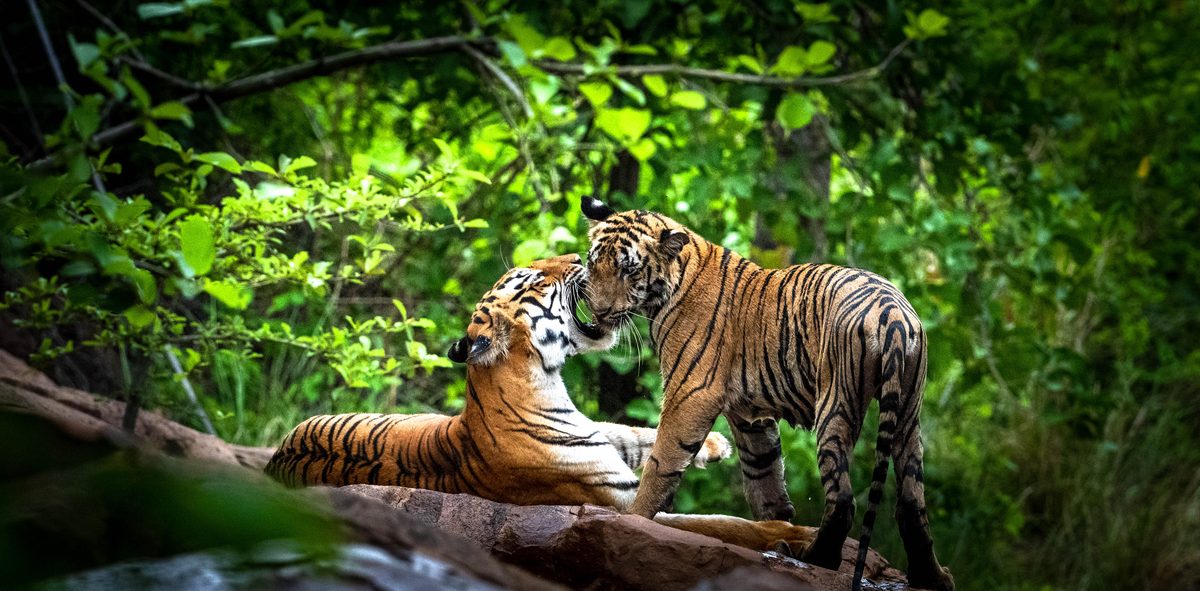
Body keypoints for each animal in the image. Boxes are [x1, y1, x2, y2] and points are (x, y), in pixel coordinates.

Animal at [579, 198, 954, 591]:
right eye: (594, 263)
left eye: (628, 271)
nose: (599, 311)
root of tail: (893, 313)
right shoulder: (750, 415)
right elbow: (764, 477)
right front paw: (777, 526)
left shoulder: (691, 392)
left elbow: (661, 463)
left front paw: (633, 520)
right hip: (909, 411)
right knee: (911, 501)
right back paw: (931, 577)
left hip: (836, 403)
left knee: (843, 498)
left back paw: (817, 558)